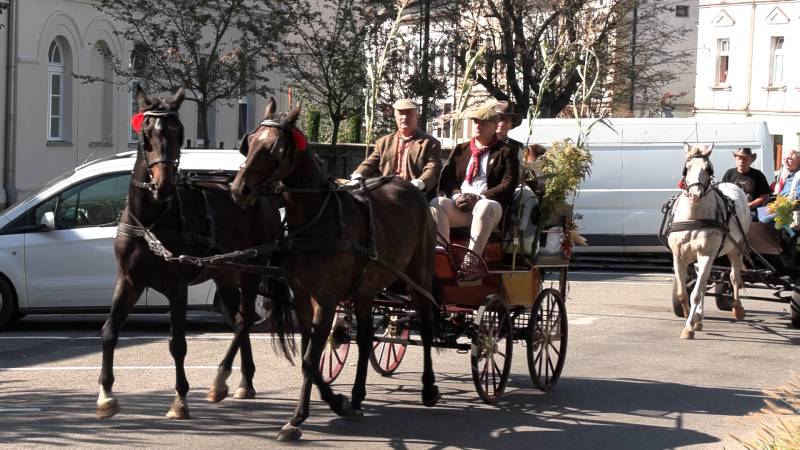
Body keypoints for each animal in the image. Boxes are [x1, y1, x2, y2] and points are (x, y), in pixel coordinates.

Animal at [95, 87, 286, 418]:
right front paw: (106, 395)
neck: (150, 221)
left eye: (179, 132)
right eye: (146, 132)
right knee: (239, 319)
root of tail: (262, 197)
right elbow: (109, 331)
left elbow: (178, 344)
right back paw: (244, 381)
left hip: (252, 270)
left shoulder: (177, 287)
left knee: (245, 319)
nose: (163, 185)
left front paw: (180, 399)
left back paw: (222, 381)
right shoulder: (130, 281)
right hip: (226, 274)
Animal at [231, 100, 440, 442]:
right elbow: (310, 356)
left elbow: (309, 357)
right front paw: (338, 403)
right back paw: (356, 396)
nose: (240, 190)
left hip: (418, 277)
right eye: (248, 143)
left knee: (426, 322)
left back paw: (428, 387)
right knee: (367, 338)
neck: (315, 219)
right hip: (366, 289)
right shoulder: (303, 295)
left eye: (276, 148)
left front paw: (298, 418)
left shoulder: (327, 299)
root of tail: (409, 188)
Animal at [668, 146, 752, 340]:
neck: (694, 216)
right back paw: (699, 318)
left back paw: (737, 308)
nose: (695, 194)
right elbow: (683, 293)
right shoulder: (678, 256)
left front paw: (689, 327)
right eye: (687, 168)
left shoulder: (707, 254)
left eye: (708, 169)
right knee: (703, 278)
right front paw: (690, 316)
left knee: (734, 277)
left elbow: (696, 294)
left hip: (736, 249)